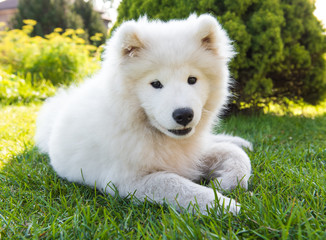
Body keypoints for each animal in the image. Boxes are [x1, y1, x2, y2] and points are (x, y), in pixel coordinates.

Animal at [36, 14, 255, 215]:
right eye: (156, 83)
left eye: (192, 79)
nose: (184, 115)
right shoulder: (127, 181)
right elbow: (176, 184)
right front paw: (224, 205)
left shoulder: (189, 154)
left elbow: (235, 154)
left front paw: (226, 182)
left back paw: (241, 141)